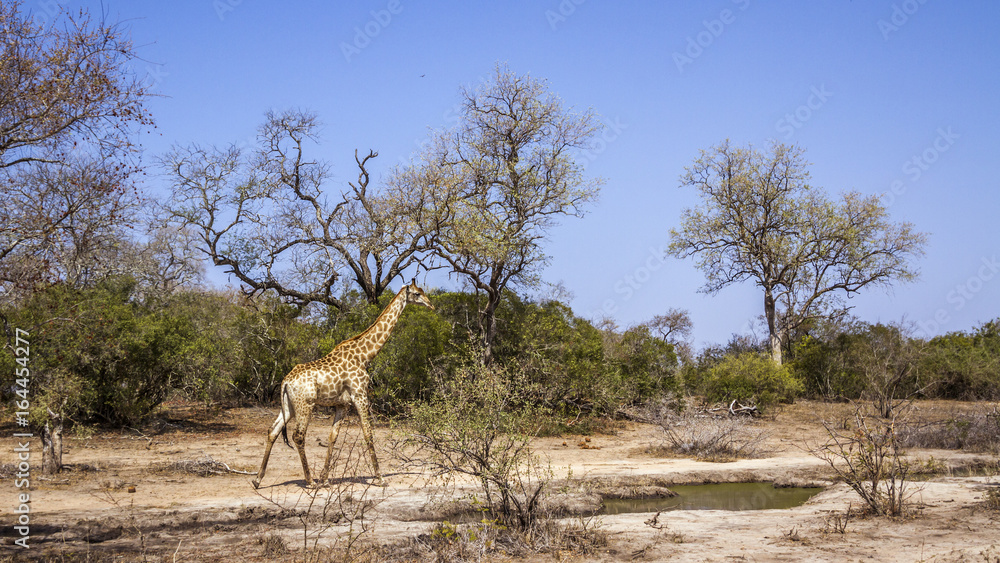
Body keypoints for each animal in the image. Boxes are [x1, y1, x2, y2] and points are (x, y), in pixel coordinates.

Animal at [252, 280, 434, 489]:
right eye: (417, 294)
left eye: (422, 291)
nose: (431, 305)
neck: (365, 356)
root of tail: (285, 382)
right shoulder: (360, 395)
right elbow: (368, 433)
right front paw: (380, 478)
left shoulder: (342, 404)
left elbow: (333, 436)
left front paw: (325, 479)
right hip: (305, 404)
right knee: (298, 436)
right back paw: (309, 481)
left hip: (289, 405)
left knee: (272, 431)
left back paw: (257, 480)